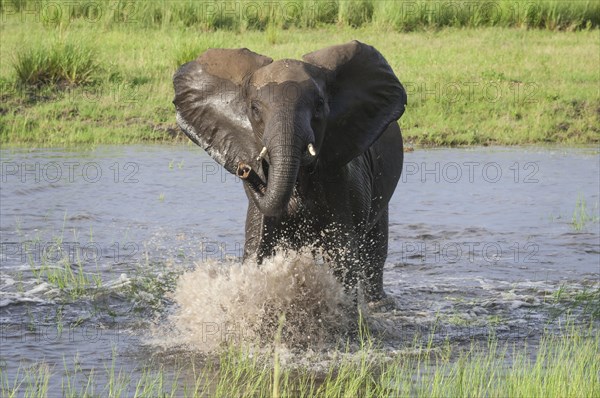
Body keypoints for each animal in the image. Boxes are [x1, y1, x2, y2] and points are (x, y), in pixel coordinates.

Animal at [173, 41, 408, 302]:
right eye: (254, 109)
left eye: (319, 105)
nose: (245, 169)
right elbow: (258, 247)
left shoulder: (344, 179)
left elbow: (342, 253)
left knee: (374, 251)